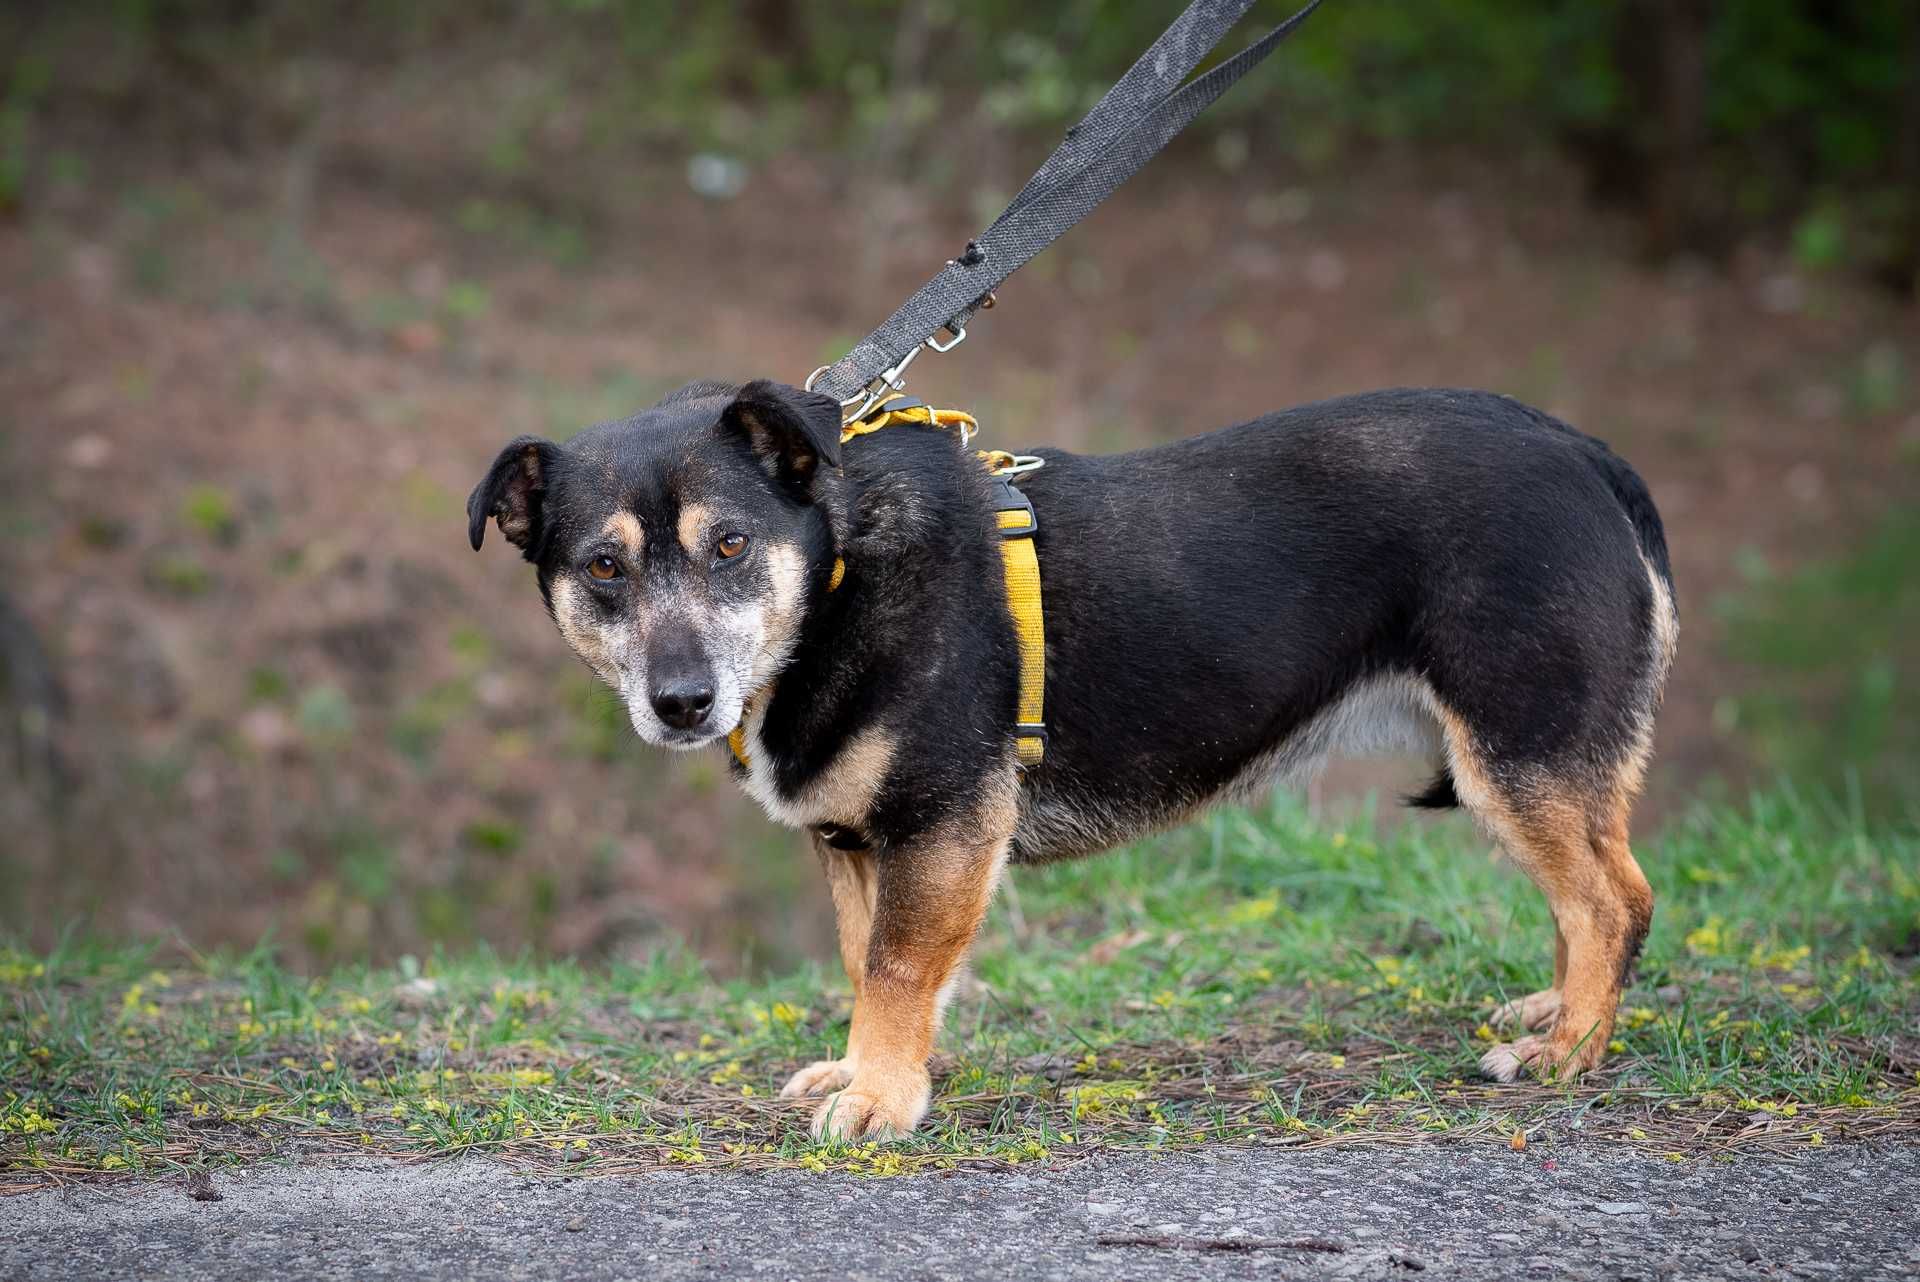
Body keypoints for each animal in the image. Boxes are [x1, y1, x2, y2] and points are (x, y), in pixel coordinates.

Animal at [468, 379, 1681, 1143]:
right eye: (603, 568)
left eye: (729, 544)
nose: (681, 703)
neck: (838, 575)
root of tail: (1584, 453)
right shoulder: (860, 842)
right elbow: (868, 964)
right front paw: (875, 1069)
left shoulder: (944, 822)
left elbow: (897, 969)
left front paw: (882, 1100)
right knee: (1583, 900)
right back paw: (1554, 1013)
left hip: (1520, 748)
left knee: (1615, 899)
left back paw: (1572, 1051)